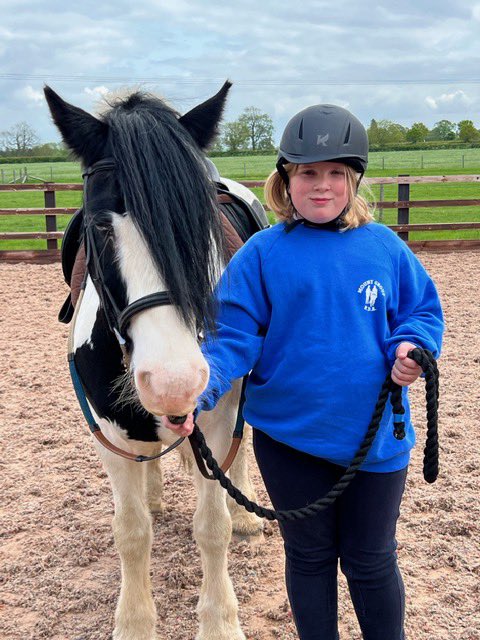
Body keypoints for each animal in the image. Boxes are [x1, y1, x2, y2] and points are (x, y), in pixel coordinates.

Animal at [44, 82, 264, 640]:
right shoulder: (108, 434)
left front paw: (219, 622)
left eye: (202, 227)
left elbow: (213, 527)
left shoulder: (217, 419)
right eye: (100, 229)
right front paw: (135, 623)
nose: (174, 383)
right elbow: (130, 531)